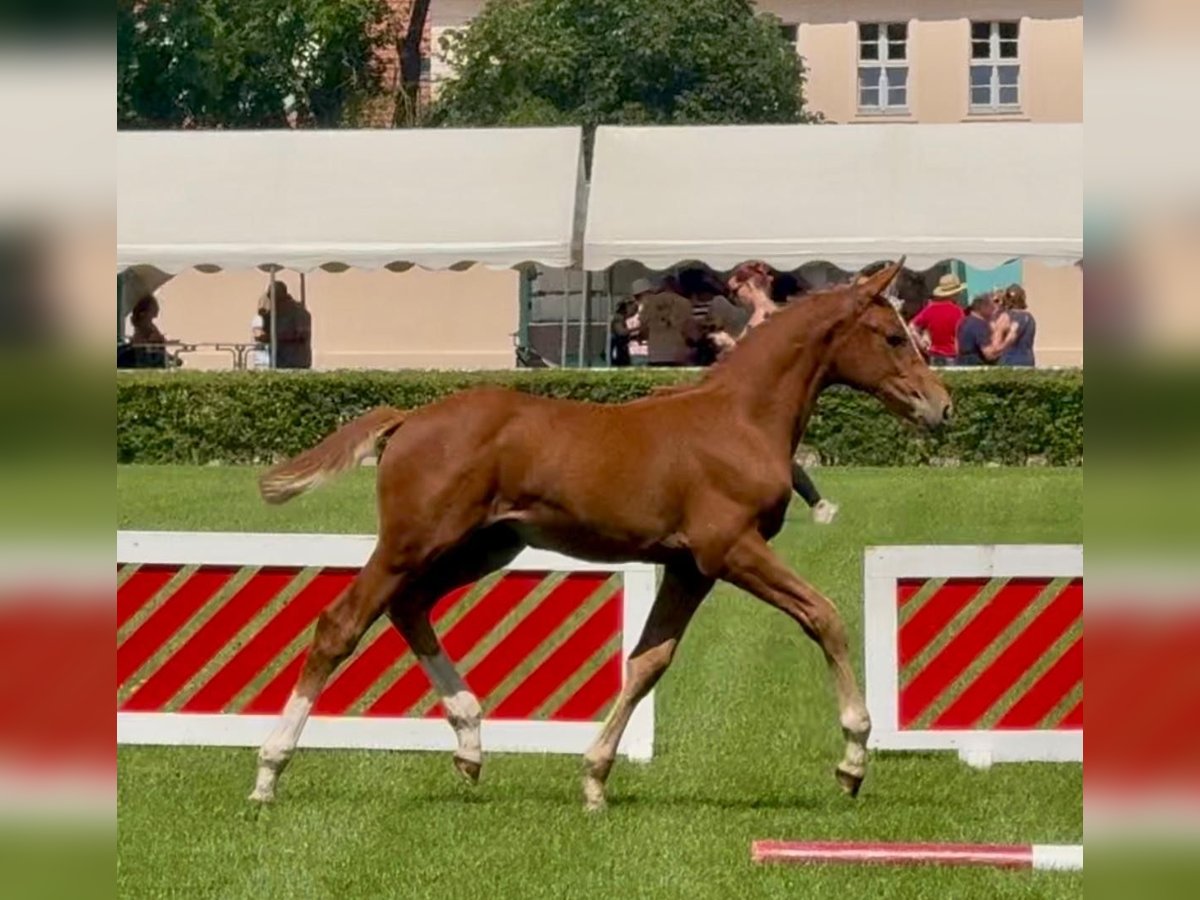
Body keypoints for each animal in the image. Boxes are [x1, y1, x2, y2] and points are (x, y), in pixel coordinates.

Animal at [248, 260, 953, 811]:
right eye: (894, 336)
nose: (941, 406)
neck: (740, 419)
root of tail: (409, 418)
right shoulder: (732, 549)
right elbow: (823, 615)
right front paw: (853, 757)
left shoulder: (690, 567)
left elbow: (648, 660)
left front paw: (594, 778)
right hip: (411, 543)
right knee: (341, 624)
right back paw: (270, 770)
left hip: (484, 546)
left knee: (409, 607)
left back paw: (471, 742)